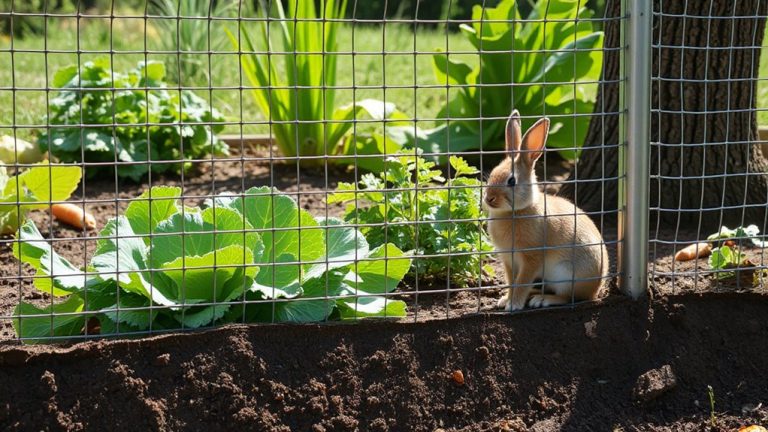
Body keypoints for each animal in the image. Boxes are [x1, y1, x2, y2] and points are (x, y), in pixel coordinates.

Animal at [483, 110, 609, 311]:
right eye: (492, 174)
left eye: (512, 181)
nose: (489, 198)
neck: (516, 211)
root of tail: (596, 288)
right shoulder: (508, 261)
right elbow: (512, 281)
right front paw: (505, 300)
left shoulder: (531, 259)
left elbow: (522, 282)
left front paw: (513, 305)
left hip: (566, 275)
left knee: (569, 297)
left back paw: (542, 300)